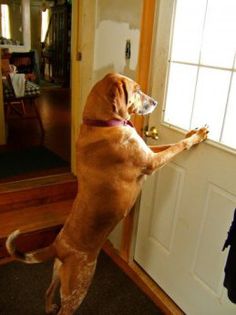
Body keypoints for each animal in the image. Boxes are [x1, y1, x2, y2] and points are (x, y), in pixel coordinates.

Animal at [5, 73, 208, 314]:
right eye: (136, 90)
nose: (155, 102)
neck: (101, 124)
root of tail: (58, 246)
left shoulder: (148, 151)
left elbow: (169, 144)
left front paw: (192, 132)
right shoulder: (151, 162)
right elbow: (177, 145)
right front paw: (197, 137)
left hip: (58, 273)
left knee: (47, 292)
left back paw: (48, 306)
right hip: (78, 287)